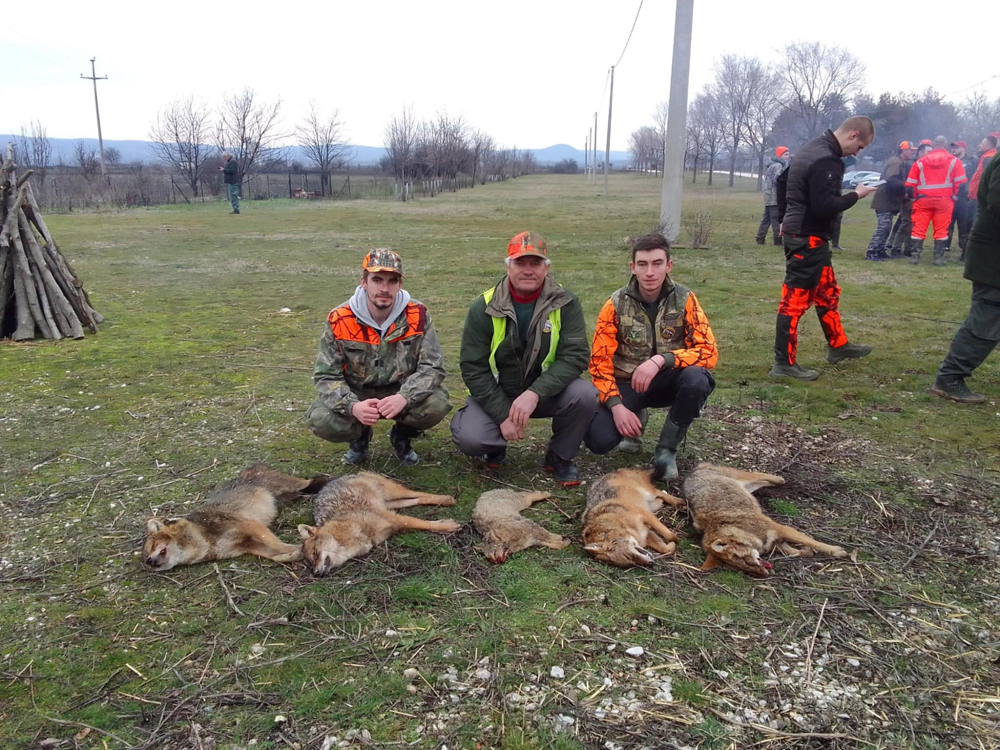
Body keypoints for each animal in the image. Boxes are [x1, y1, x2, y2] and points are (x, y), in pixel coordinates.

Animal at [143, 465, 324, 571]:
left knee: (313, 480)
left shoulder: (249, 525)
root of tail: (247, 470)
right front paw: (295, 554)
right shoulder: (248, 545)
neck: (205, 542)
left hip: (293, 486)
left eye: (153, 545)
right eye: (146, 555)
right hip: (292, 495)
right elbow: (275, 555)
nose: (149, 561)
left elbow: (277, 545)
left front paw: (300, 548)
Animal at [298, 472, 461, 576]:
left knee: (418, 493)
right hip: (392, 503)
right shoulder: (393, 521)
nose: (316, 573)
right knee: (416, 499)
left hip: (393, 493)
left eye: (315, 554)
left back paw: (445, 498)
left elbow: (423, 524)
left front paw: (446, 526)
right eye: (310, 564)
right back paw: (444, 500)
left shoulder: (394, 519)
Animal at [683, 462, 848, 577]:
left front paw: (835, 551)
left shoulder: (780, 528)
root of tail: (693, 472)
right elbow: (795, 552)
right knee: (762, 482)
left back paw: (779, 479)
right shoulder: (775, 542)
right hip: (750, 488)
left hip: (745, 480)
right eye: (740, 568)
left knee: (757, 474)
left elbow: (813, 542)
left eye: (745, 561)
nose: (764, 575)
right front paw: (807, 552)